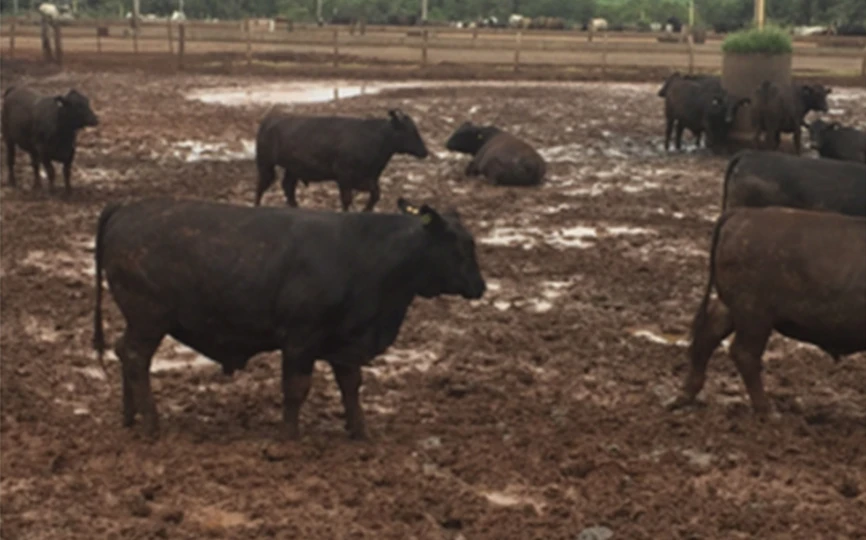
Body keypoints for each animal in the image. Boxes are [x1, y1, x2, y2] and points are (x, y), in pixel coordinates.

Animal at [92, 197, 486, 441]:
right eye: (460, 244)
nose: (481, 286)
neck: (365, 254)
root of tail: (126, 208)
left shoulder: (345, 342)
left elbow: (351, 385)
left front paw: (359, 431)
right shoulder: (300, 339)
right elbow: (297, 388)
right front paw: (290, 436)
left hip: (139, 323)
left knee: (123, 351)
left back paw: (130, 416)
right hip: (149, 320)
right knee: (135, 358)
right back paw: (151, 422)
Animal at [254, 109, 429, 211]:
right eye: (409, 131)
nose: (425, 152)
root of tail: (271, 118)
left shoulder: (368, 178)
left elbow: (375, 195)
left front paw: (366, 211)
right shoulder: (344, 176)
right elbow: (346, 200)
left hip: (293, 169)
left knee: (288, 187)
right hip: (265, 164)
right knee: (260, 187)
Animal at [671, 207, 866, 416]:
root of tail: (741, 214)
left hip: (733, 309)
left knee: (707, 337)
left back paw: (683, 397)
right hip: (754, 315)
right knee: (744, 353)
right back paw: (769, 411)